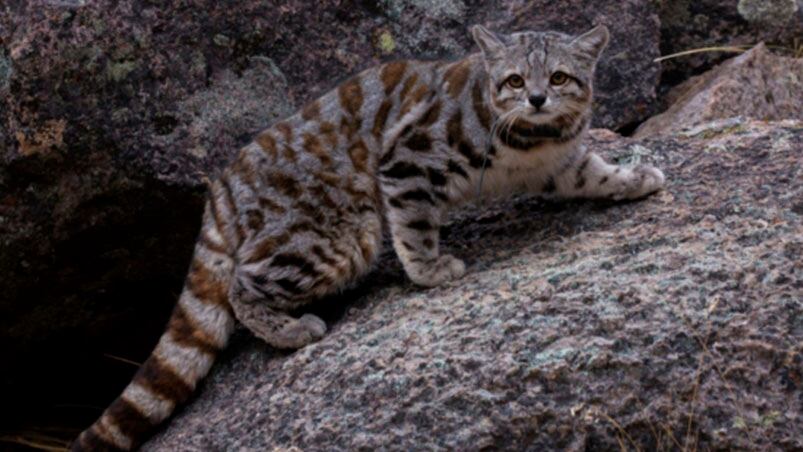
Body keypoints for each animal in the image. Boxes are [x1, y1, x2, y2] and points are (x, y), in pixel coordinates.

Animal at [74, 23, 664, 448]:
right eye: (516, 81)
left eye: (559, 77)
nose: (538, 99)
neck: (532, 139)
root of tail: (220, 190)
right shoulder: (407, 158)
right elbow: (413, 225)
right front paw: (430, 270)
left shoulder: (562, 164)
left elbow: (595, 173)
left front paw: (635, 178)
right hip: (336, 236)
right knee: (243, 285)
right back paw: (292, 329)